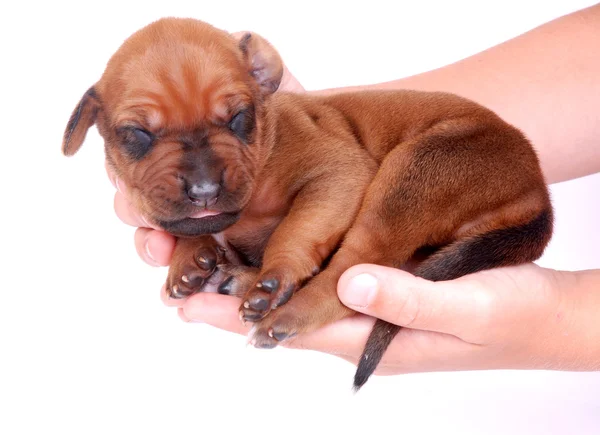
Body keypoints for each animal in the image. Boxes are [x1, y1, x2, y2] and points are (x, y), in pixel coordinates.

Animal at [62, 17, 552, 392]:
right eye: (137, 135)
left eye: (238, 119)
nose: (203, 189)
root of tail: (536, 190)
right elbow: (187, 226)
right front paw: (189, 260)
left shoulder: (336, 173)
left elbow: (296, 230)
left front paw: (275, 276)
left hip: (419, 169)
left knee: (350, 273)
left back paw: (283, 306)